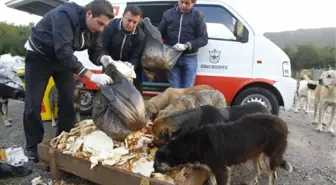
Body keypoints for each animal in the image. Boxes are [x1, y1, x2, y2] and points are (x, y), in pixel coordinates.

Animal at [154, 112, 292, 185]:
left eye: (156, 161)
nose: (153, 170)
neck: (192, 143)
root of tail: (282, 122)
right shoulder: (211, 169)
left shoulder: (222, 171)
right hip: (254, 153)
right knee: (258, 170)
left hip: (270, 157)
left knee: (271, 176)